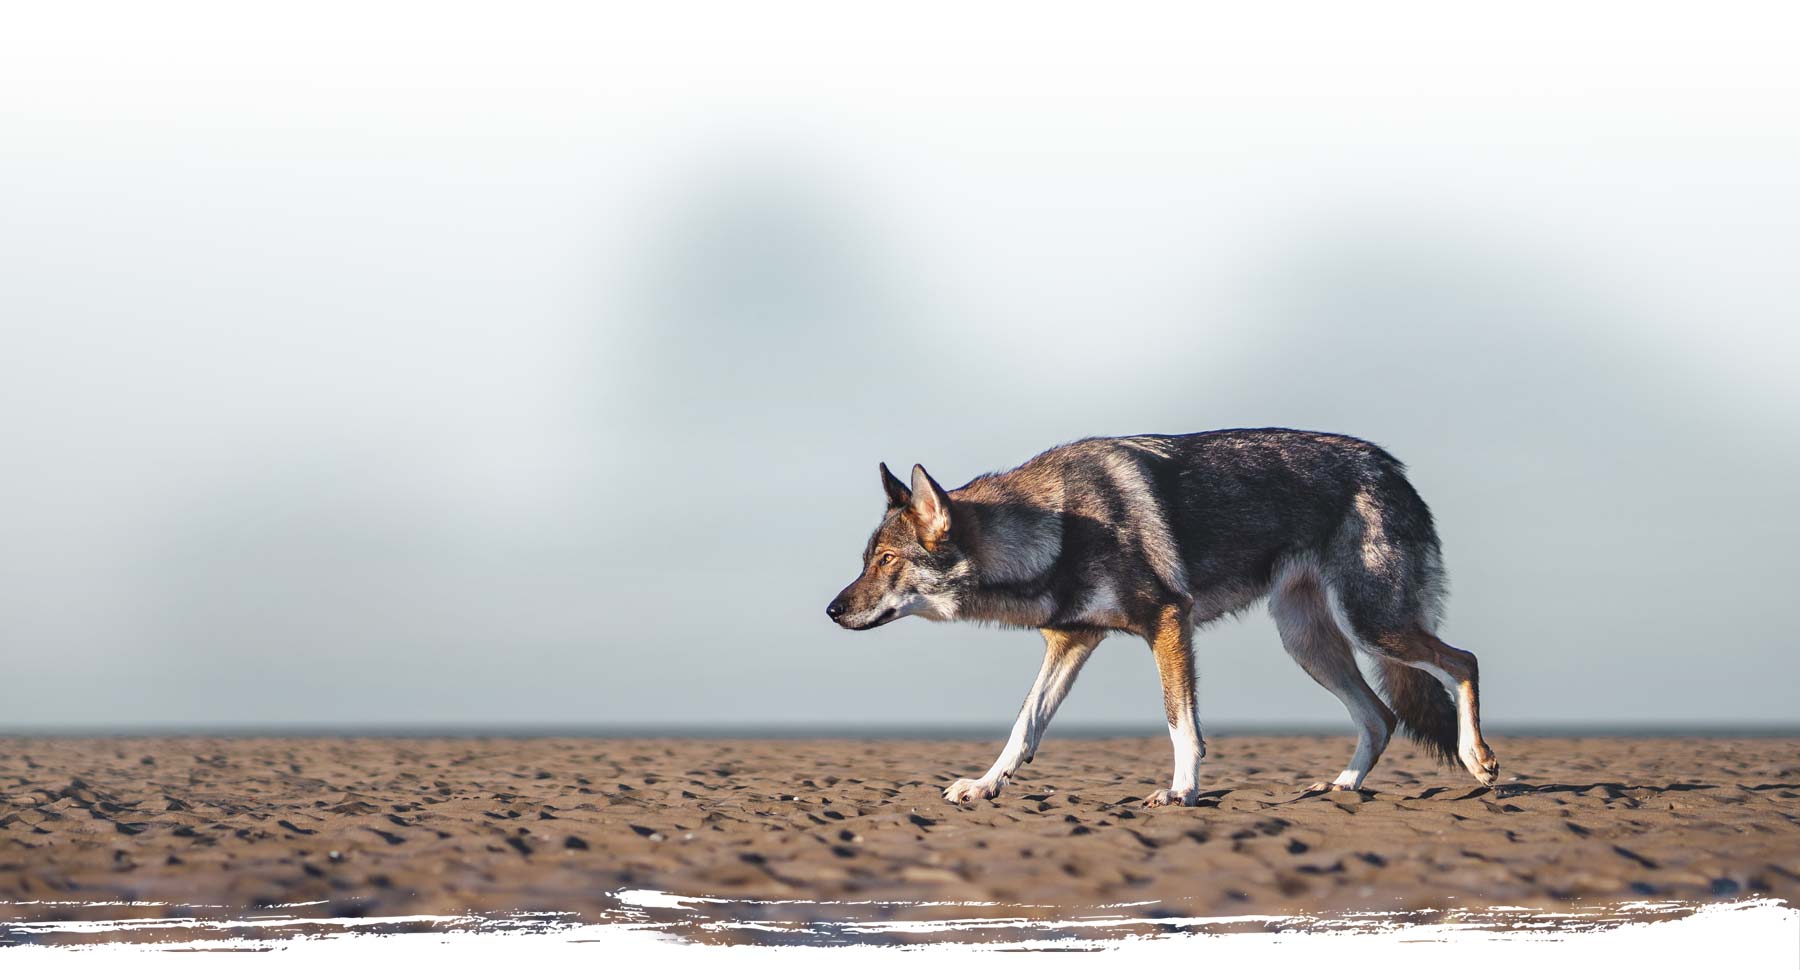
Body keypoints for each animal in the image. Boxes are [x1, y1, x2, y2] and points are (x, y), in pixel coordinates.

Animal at [826, 429, 1499, 807]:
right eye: (866, 560)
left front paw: (1181, 791)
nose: (831, 610)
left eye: (886, 560)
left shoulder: (1169, 624)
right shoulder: (1070, 643)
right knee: (1382, 716)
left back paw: (1479, 760)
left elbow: (1181, 724)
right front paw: (986, 785)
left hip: (1372, 626)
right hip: (1309, 643)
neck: (1059, 528)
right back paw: (1342, 786)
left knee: (1463, 662)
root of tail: (1391, 467)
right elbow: (1024, 727)